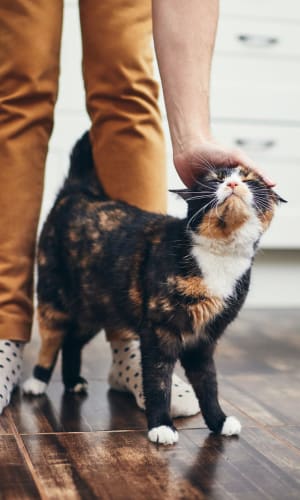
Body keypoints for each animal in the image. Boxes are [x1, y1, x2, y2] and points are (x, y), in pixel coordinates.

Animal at [23, 131, 286, 444]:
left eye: (250, 180)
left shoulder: (204, 339)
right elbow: (158, 381)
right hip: (53, 298)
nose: (233, 184)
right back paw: (37, 381)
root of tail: (78, 192)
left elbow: (208, 384)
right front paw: (161, 425)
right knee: (52, 340)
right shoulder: (160, 331)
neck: (220, 256)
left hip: (96, 307)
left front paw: (219, 421)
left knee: (73, 341)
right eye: (215, 179)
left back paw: (73, 381)